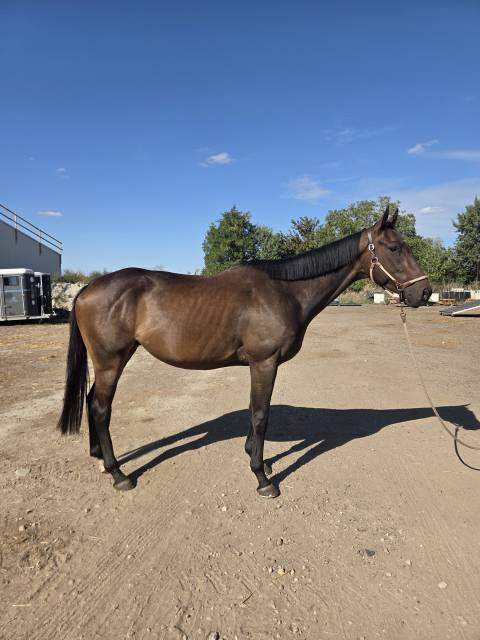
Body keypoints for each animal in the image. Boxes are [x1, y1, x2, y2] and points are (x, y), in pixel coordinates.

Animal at [57, 205, 431, 497]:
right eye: (395, 247)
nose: (424, 292)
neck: (285, 291)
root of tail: (87, 289)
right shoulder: (265, 363)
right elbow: (261, 415)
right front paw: (263, 478)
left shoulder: (260, 365)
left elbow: (255, 410)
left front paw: (255, 455)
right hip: (111, 360)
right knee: (101, 408)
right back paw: (118, 473)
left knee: (91, 401)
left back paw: (99, 458)